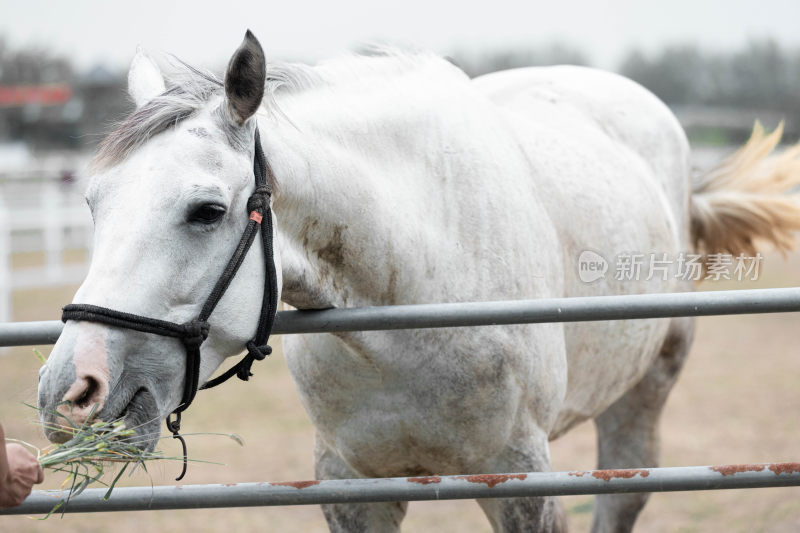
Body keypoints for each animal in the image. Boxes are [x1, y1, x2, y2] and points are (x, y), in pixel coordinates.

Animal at [36, 31, 800, 528]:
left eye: (206, 211)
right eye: (93, 204)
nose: (69, 392)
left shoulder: (521, 479)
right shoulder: (352, 486)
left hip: (645, 390)